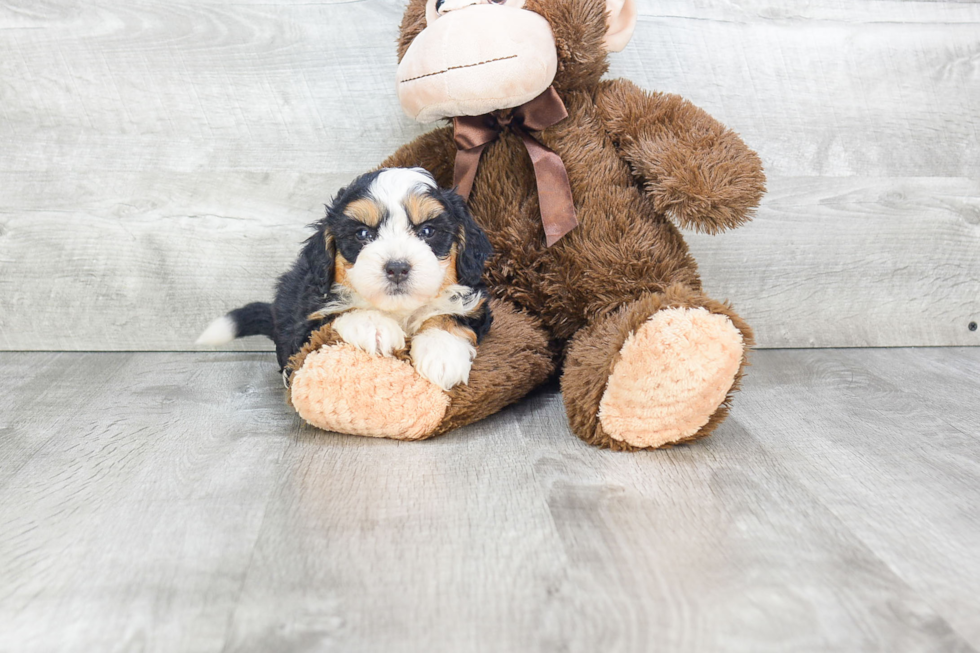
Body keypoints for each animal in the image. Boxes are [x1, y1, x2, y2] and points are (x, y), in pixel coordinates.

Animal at [196, 169, 494, 392]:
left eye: (428, 231)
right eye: (362, 234)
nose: (397, 268)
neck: (398, 310)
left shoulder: (477, 306)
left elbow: (448, 316)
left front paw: (442, 353)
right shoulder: (306, 323)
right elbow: (339, 312)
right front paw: (374, 326)